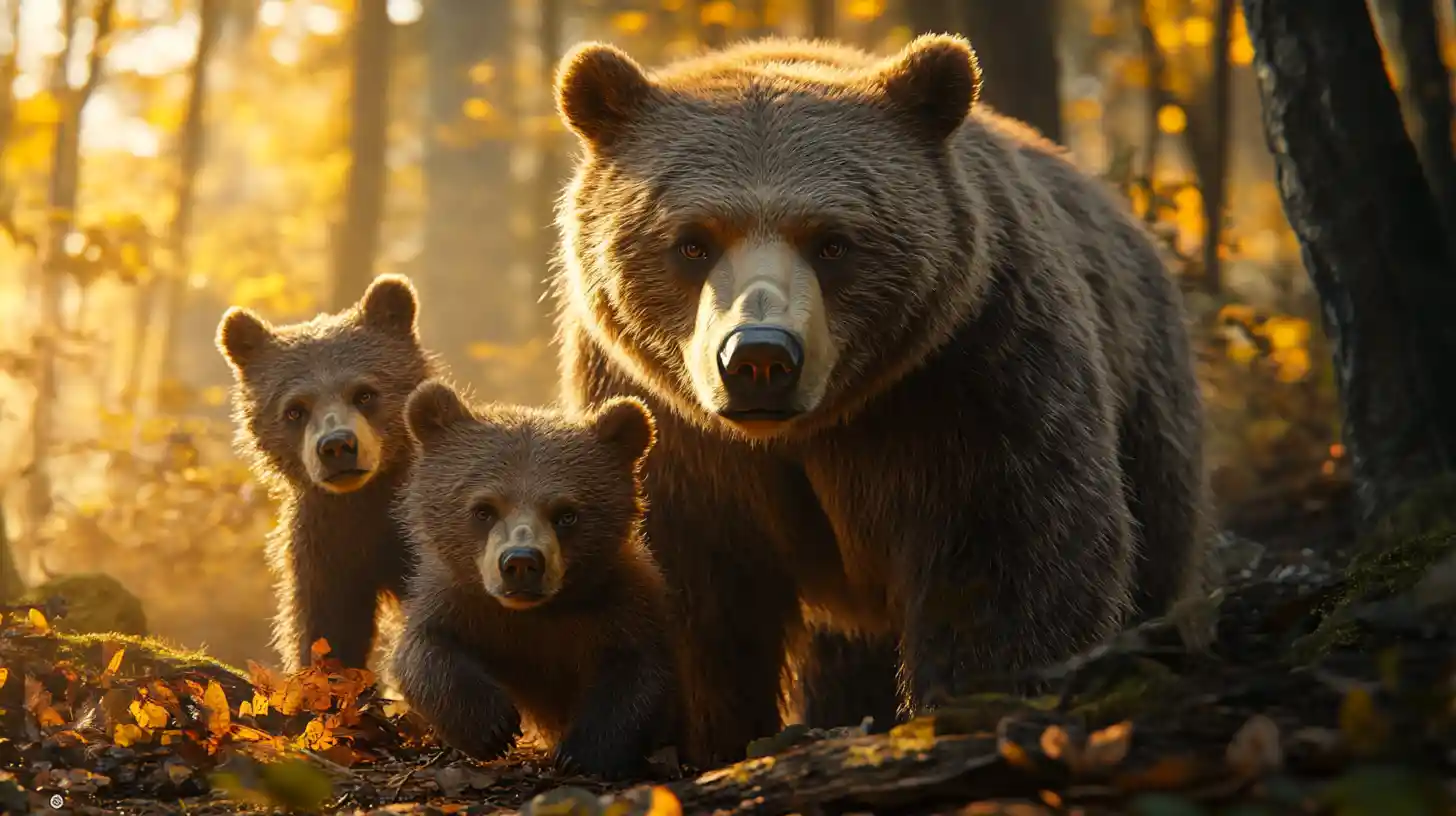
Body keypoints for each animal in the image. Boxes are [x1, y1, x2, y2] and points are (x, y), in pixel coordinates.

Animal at [390, 380, 677, 780]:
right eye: (483, 509)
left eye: (567, 514)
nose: (521, 562)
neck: (535, 614)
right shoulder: (461, 602)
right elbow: (423, 651)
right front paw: (492, 727)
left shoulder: (618, 608)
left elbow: (637, 673)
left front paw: (582, 753)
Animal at [549, 34, 1209, 766]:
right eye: (692, 242)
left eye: (833, 241)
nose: (758, 358)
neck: (803, 435)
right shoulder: (672, 430)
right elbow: (692, 589)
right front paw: (698, 735)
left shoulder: (963, 379)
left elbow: (1010, 553)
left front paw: (979, 698)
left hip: (1145, 402)